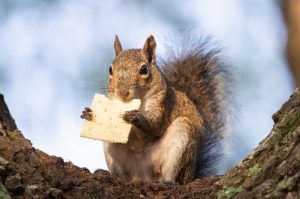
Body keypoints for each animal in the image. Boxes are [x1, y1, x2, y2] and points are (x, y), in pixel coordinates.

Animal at [81, 35, 231, 184]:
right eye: (110, 69)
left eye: (144, 70)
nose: (122, 93)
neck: (139, 99)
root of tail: (141, 175)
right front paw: (88, 113)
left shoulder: (163, 103)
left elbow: (156, 125)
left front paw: (137, 117)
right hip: (111, 149)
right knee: (123, 175)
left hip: (181, 139)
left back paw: (169, 182)